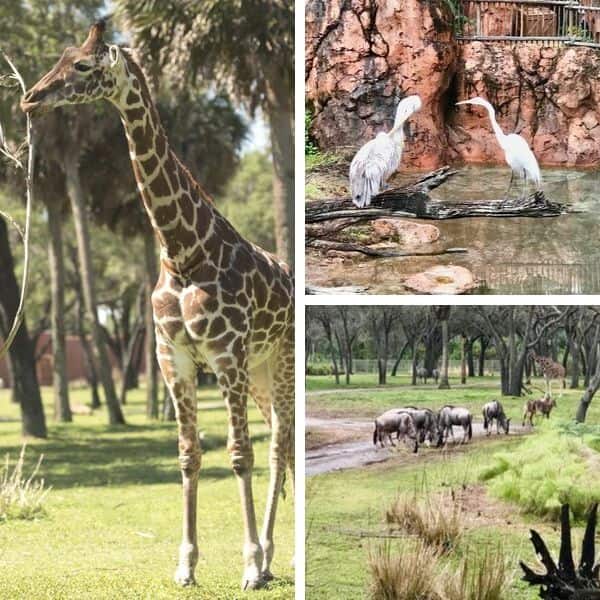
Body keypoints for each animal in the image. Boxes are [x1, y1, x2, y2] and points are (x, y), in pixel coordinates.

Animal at [21, 21, 296, 588]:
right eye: (60, 56)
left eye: (83, 66)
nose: (31, 97)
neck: (183, 250)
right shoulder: (174, 358)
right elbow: (189, 456)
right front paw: (186, 564)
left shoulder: (226, 356)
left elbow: (240, 454)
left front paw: (248, 565)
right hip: (260, 370)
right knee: (283, 444)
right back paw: (273, 554)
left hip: (279, 359)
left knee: (280, 443)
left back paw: (272, 557)